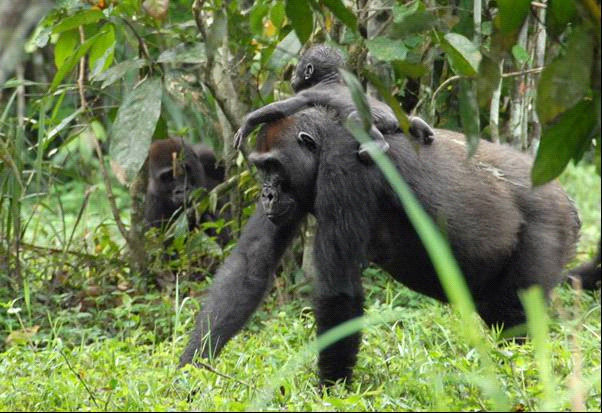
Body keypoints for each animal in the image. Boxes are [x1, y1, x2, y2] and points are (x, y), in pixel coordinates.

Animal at [177, 107, 576, 384]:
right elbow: (250, 265)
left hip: (551, 222)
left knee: (516, 312)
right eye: (261, 169)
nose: (267, 194)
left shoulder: (343, 164)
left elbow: (338, 292)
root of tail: (568, 200)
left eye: (274, 166)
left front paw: (330, 391)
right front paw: (190, 370)